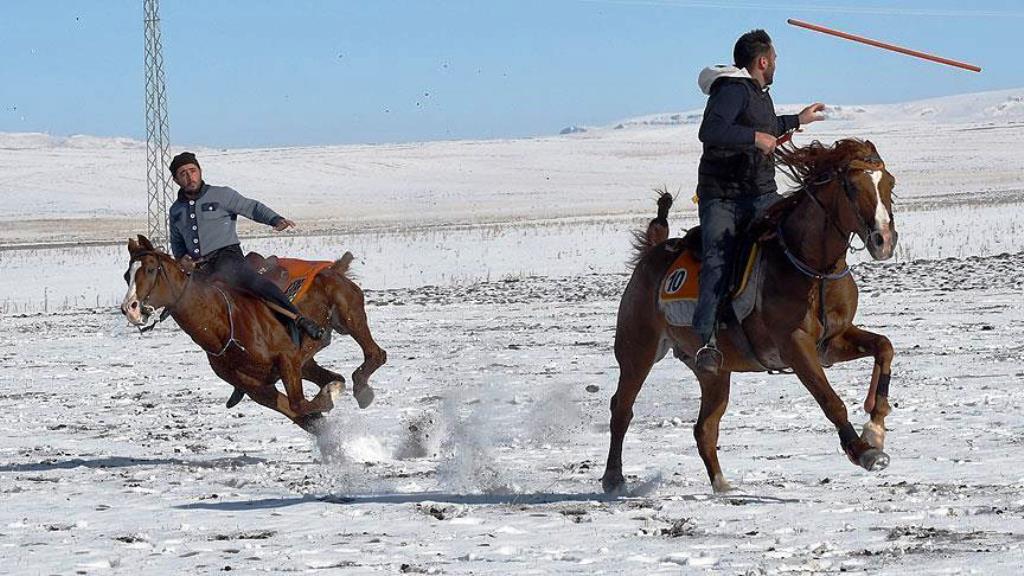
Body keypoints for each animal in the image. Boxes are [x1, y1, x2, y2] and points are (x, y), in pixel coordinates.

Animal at [118, 234, 387, 430]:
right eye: (126, 275)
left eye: (150, 269)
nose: (130, 309)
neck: (224, 323)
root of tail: (333, 267)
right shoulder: (258, 390)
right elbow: (300, 411)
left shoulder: (287, 360)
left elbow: (300, 403)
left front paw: (331, 394)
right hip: (307, 360)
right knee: (336, 373)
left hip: (349, 315)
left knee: (376, 354)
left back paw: (361, 388)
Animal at [602, 139, 901, 494]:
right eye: (852, 187)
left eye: (890, 183)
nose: (884, 240)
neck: (809, 268)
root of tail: (652, 253)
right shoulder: (795, 346)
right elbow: (830, 400)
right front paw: (863, 451)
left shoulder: (834, 340)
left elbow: (884, 347)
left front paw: (875, 428)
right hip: (638, 349)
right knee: (622, 408)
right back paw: (614, 479)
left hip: (713, 371)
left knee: (704, 428)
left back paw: (722, 485)